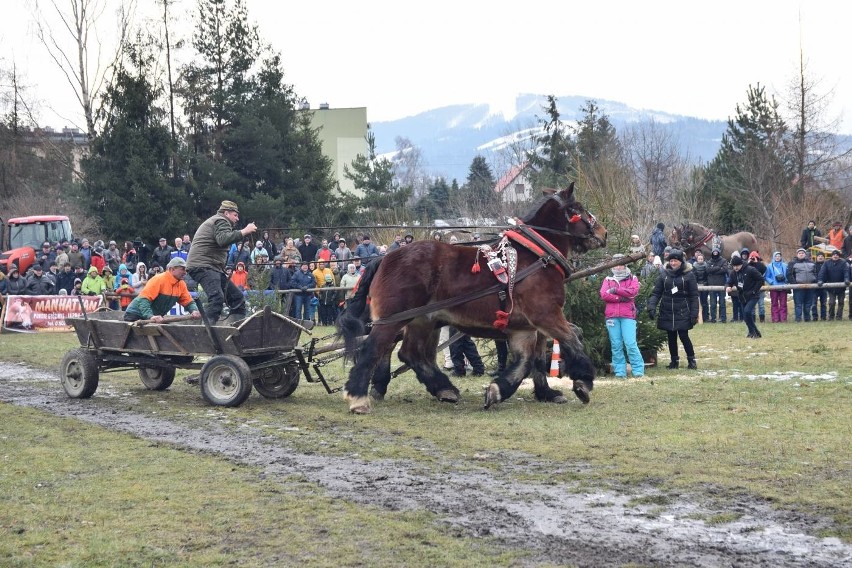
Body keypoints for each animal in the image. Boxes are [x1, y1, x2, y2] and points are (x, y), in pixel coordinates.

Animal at [336, 184, 608, 414]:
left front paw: (532, 392)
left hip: (423, 321)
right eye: (578, 209)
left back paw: (444, 389)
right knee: (373, 350)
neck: (536, 256)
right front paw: (583, 381)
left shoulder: (525, 327)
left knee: (411, 353)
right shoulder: (546, 315)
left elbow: (532, 361)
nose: (603, 232)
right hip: (393, 319)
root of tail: (384, 257)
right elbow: (571, 339)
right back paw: (358, 398)